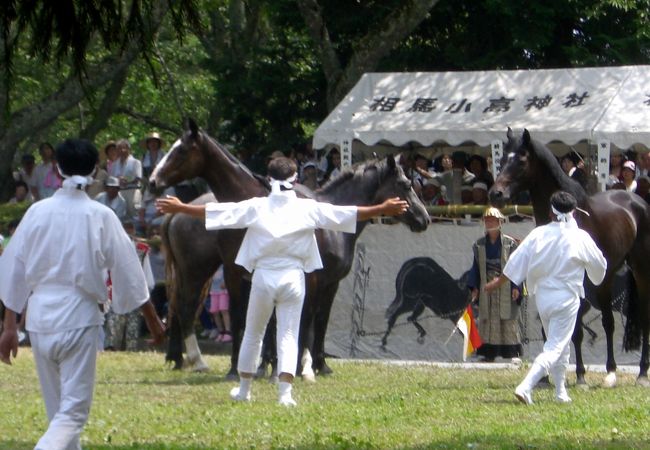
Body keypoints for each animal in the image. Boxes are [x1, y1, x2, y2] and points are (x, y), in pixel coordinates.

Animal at [492, 127, 648, 386]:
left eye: (521, 161)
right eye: (502, 159)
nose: (496, 193)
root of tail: (636, 201)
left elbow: (576, 330)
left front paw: (581, 376)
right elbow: (552, 328)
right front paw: (548, 377)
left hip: (640, 270)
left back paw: (640, 373)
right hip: (607, 276)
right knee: (609, 322)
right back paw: (612, 372)